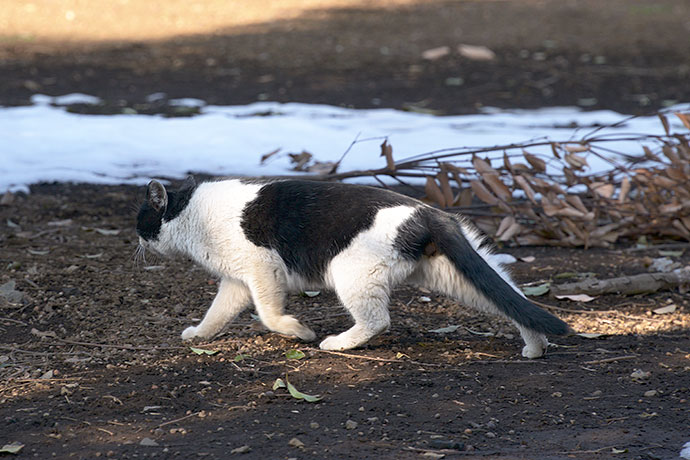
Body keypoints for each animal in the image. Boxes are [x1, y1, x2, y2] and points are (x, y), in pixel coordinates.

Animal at [137, 174, 568, 358]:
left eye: (141, 221)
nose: (137, 240)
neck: (192, 213)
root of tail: (431, 213)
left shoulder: (262, 268)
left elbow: (270, 314)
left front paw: (299, 332)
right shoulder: (237, 281)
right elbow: (218, 313)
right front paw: (199, 334)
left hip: (351, 272)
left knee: (378, 321)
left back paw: (337, 342)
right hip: (455, 275)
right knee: (512, 299)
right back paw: (536, 346)